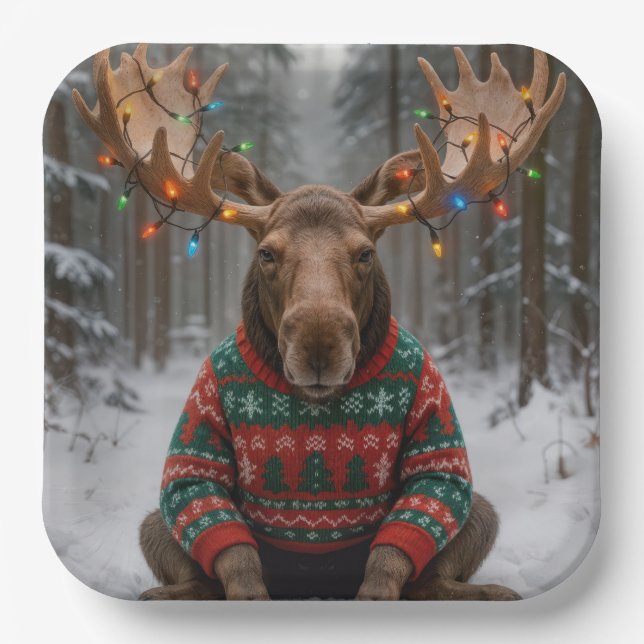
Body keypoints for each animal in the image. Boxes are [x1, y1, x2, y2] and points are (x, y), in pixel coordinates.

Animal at [72, 44, 565, 601]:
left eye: (365, 253)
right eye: (266, 253)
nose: (319, 349)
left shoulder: (434, 421)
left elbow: (402, 539)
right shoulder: (202, 415)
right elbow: (225, 537)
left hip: (481, 514)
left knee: (439, 573)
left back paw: (492, 592)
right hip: (153, 525)